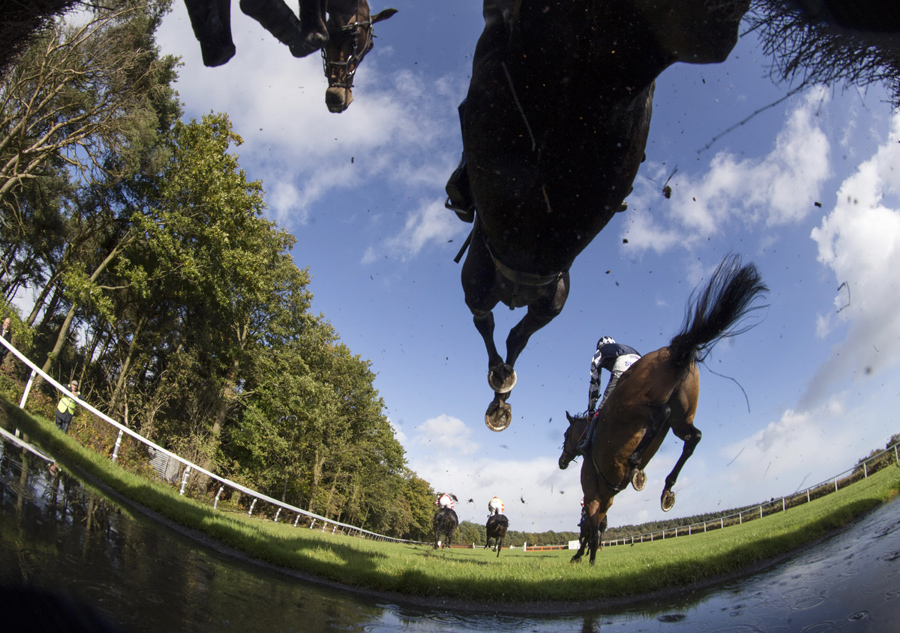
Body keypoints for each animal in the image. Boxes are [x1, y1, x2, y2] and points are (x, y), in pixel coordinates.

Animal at [458, 0, 752, 430]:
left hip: (517, 292)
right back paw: (501, 387)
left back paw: (500, 384)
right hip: (527, 296)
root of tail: (515, 293)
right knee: (501, 329)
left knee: (502, 329)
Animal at [556, 254, 768, 564]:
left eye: (565, 436)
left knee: (661, 415)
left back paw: (636, 465)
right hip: (682, 416)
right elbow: (595, 529)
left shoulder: (595, 495)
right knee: (693, 437)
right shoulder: (606, 498)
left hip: (631, 408)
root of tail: (674, 353)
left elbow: (592, 529)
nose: (561, 461)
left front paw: (585, 558)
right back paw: (666, 488)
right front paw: (588, 557)